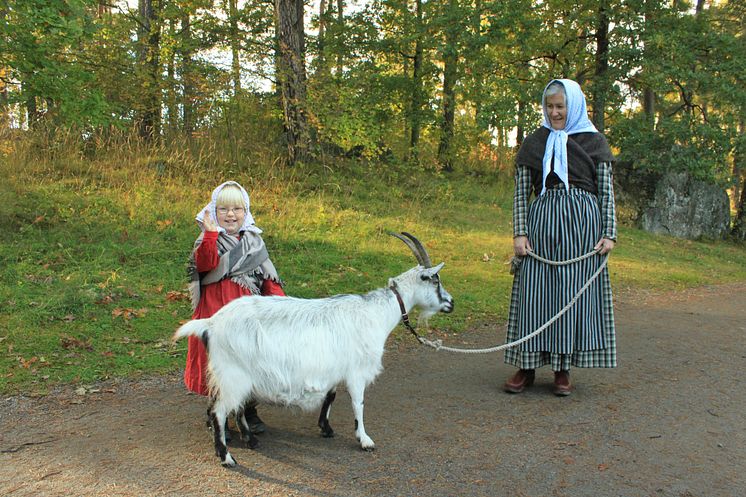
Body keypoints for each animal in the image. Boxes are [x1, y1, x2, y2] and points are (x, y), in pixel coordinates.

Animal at [173, 232, 454, 464]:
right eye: (435, 280)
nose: (451, 303)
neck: (377, 313)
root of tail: (211, 323)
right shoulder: (357, 371)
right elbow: (359, 403)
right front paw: (364, 440)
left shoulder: (333, 368)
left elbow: (331, 396)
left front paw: (325, 428)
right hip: (233, 374)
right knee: (220, 411)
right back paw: (226, 456)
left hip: (238, 376)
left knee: (235, 407)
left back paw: (250, 440)